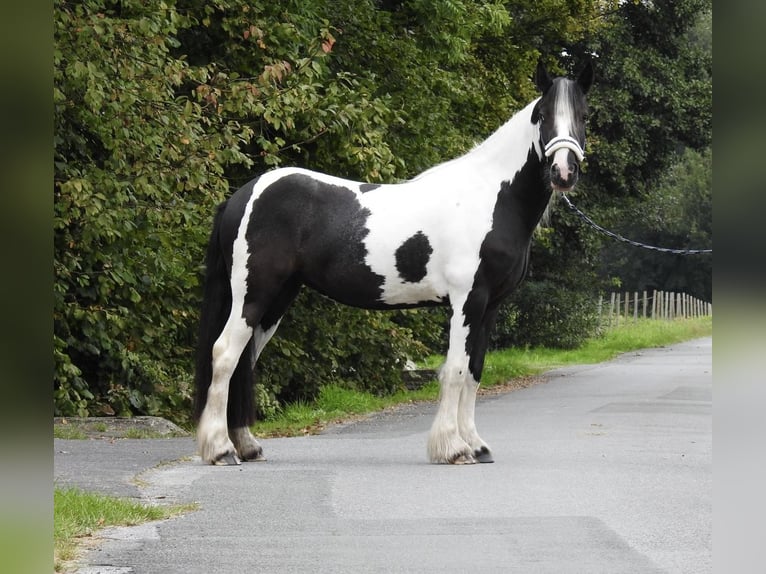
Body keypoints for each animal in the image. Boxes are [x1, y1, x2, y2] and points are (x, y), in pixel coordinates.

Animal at [195, 62, 596, 468]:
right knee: (225, 354)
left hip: (277, 300)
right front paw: (453, 448)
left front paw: (477, 445)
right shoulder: (467, 301)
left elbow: (474, 371)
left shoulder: (490, 306)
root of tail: (241, 196)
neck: (491, 198)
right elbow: (455, 369)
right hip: (254, 294)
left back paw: (246, 445)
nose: (564, 172)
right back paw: (221, 449)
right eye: (543, 115)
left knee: (244, 362)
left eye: (584, 116)